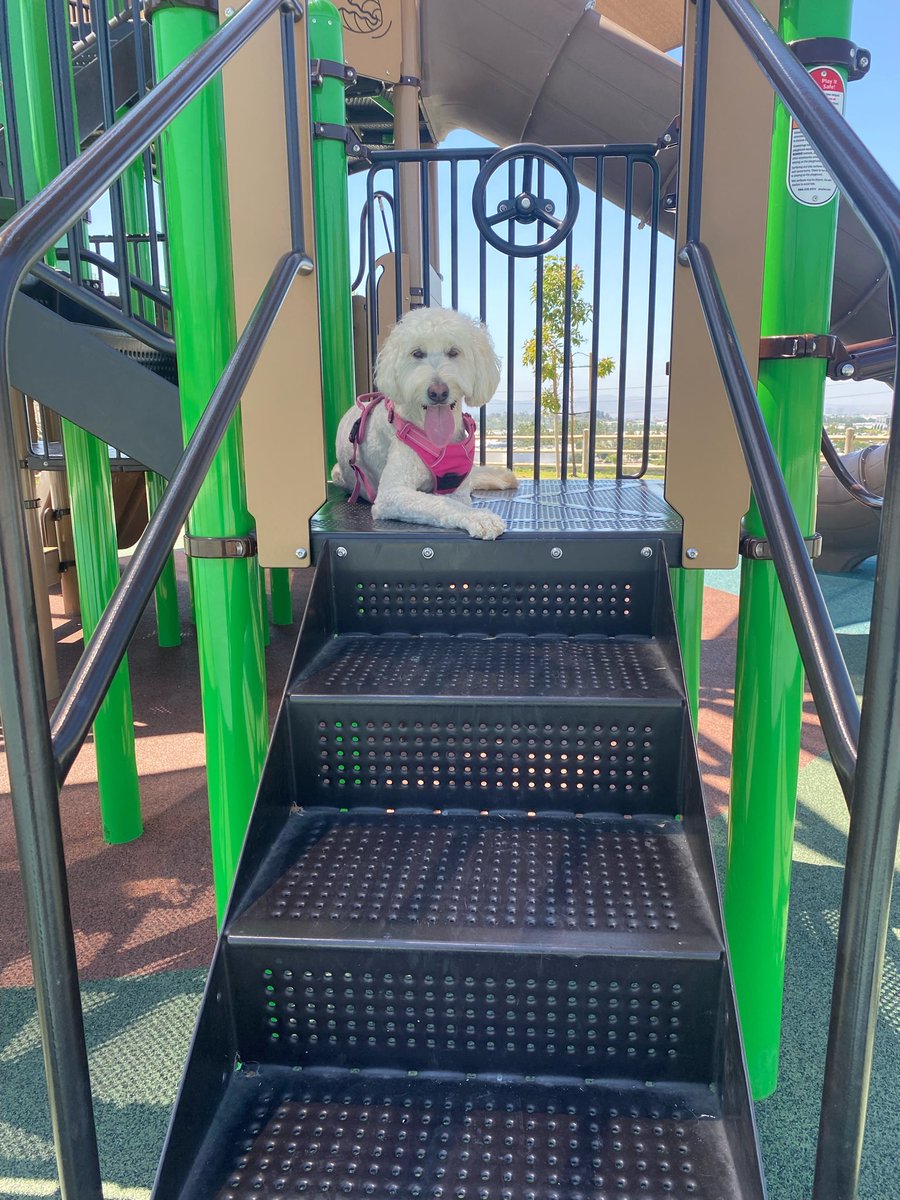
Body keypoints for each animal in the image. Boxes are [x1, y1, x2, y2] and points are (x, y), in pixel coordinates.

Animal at [331, 304, 518, 540]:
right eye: (417, 353)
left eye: (454, 352)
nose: (438, 392)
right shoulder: (392, 494)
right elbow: (443, 503)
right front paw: (480, 517)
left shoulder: (459, 489)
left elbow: (456, 500)